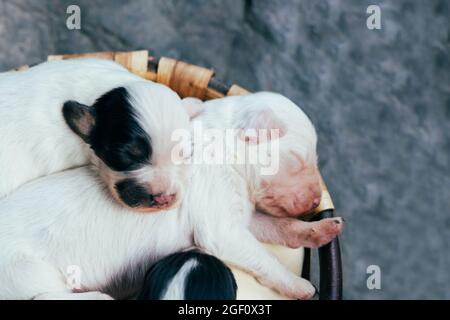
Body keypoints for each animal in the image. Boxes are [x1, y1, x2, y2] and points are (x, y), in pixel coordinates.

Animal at [0, 91, 342, 298]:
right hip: (28, 276)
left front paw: (319, 230)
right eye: (297, 159)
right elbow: (264, 258)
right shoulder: (222, 231)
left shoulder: (239, 216)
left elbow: (276, 226)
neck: (224, 149)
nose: (316, 202)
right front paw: (300, 286)